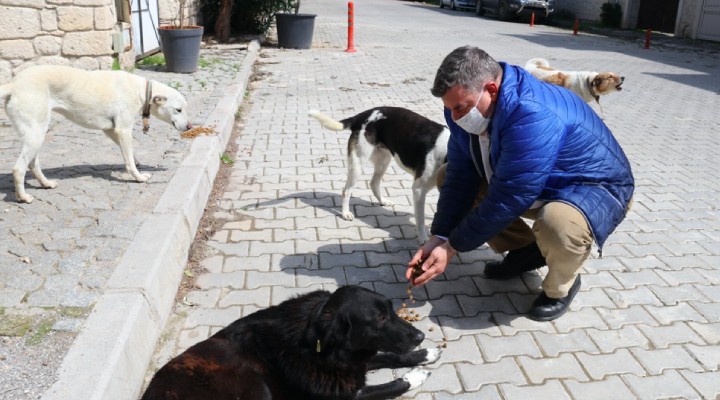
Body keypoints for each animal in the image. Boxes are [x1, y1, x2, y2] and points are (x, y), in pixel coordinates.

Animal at [0, 66, 193, 203]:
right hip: (36, 134)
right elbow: (129, 161)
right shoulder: (123, 130)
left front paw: (138, 162)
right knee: (18, 169)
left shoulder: (111, 130)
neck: (141, 90)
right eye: (178, 110)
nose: (190, 126)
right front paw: (138, 177)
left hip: (36, 134)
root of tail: (13, 84)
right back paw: (23, 197)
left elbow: (130, 155)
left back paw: (46, 184)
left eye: (184, 109)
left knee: (32, 164)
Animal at [142, 286, 438, 398]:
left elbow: (390, 356)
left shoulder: (356, 362)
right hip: (255, 387)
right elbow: (391, 385)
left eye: (391, 310)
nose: (420, 336)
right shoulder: (346, 394)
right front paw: (415, 376)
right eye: (379, 319)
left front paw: (425, 354)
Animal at [310, 107, 450, 244]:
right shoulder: (419, 190)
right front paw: (423, 238)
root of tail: (363, 115)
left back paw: (383, 201)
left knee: (373, 183)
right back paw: (345, 213)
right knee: (346, 190)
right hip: (358, 164)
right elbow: (420, 219)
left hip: (383, 159)